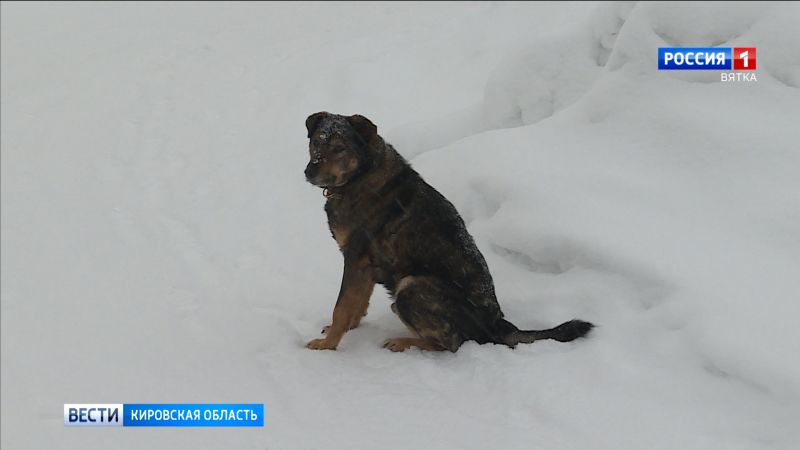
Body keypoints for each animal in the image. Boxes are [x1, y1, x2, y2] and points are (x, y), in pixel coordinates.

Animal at [304, 112, 592, 352]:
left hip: (411, 286)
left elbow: (341, 307)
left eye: (340, 148)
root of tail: (498, 324)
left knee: (450, 344)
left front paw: (327, 345)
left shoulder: (356, 258)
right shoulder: (364, 266)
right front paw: (345, 331)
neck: (360, 174)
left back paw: (404, 342)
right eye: (316, 143)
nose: (309, 171)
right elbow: (356, 305)